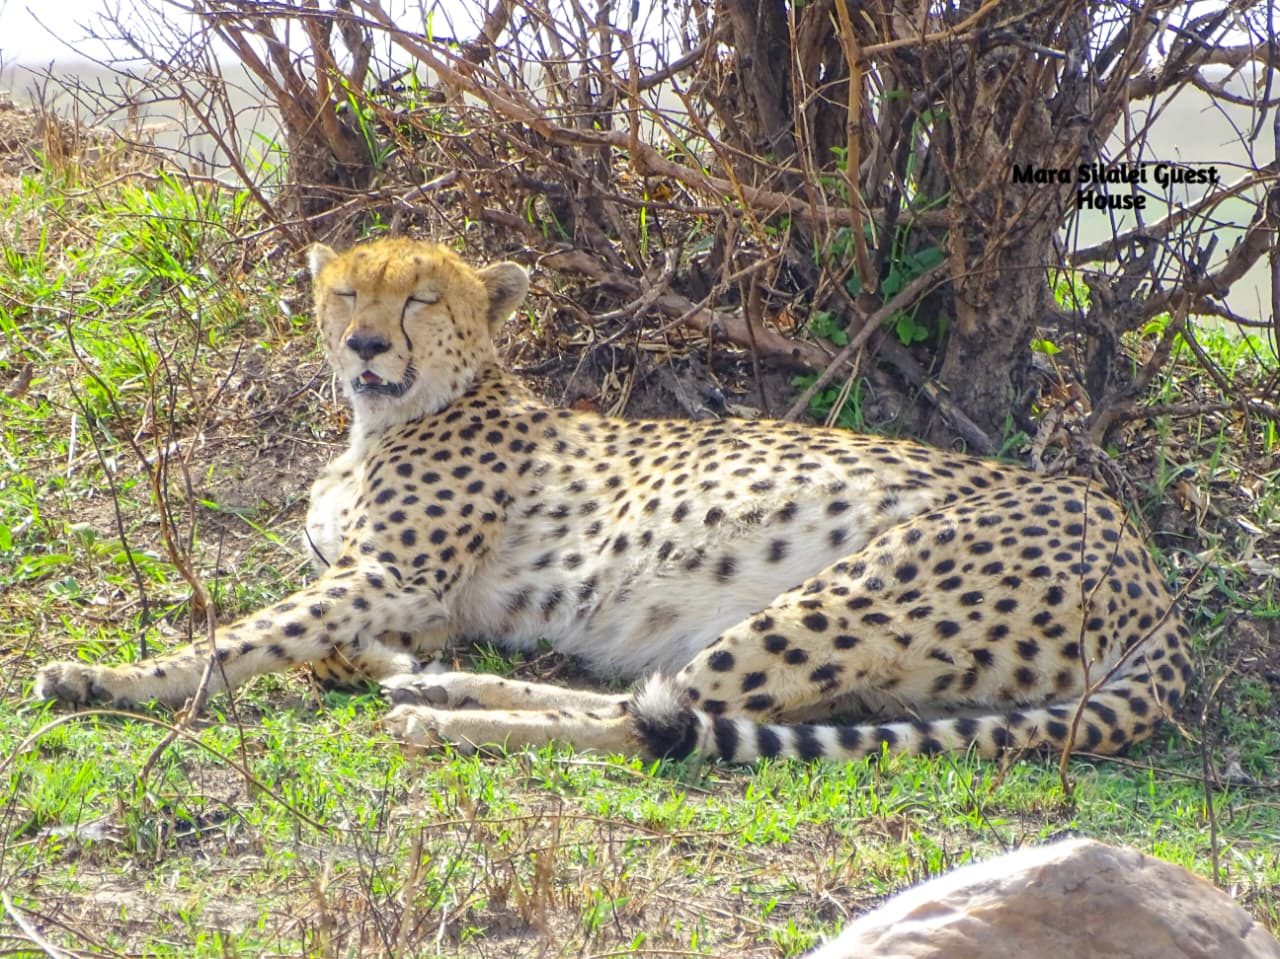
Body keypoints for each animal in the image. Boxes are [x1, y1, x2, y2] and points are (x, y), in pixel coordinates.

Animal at [34, 237, 1192, 763]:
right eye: (346, 292)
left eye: (422, 298)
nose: (362, 345)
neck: (389, 419)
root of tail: (1153, 581)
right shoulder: (397, 587)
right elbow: (313, 635)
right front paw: (383, 662)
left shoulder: (397, 572)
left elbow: (242, 635)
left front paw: (111, 676)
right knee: (661, 697)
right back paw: (444, 689)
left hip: (859, 588)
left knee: (656, 718)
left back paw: (443, 717)